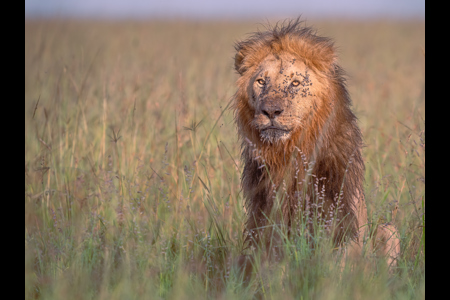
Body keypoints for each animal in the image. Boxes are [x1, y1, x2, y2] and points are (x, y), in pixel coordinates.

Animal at [234, 18, 400, 272]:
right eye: (261, 82)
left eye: (295, 83)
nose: (270, 111)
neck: (289, 153)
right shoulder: (264, 221)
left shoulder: (338, 220)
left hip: (388, 229)